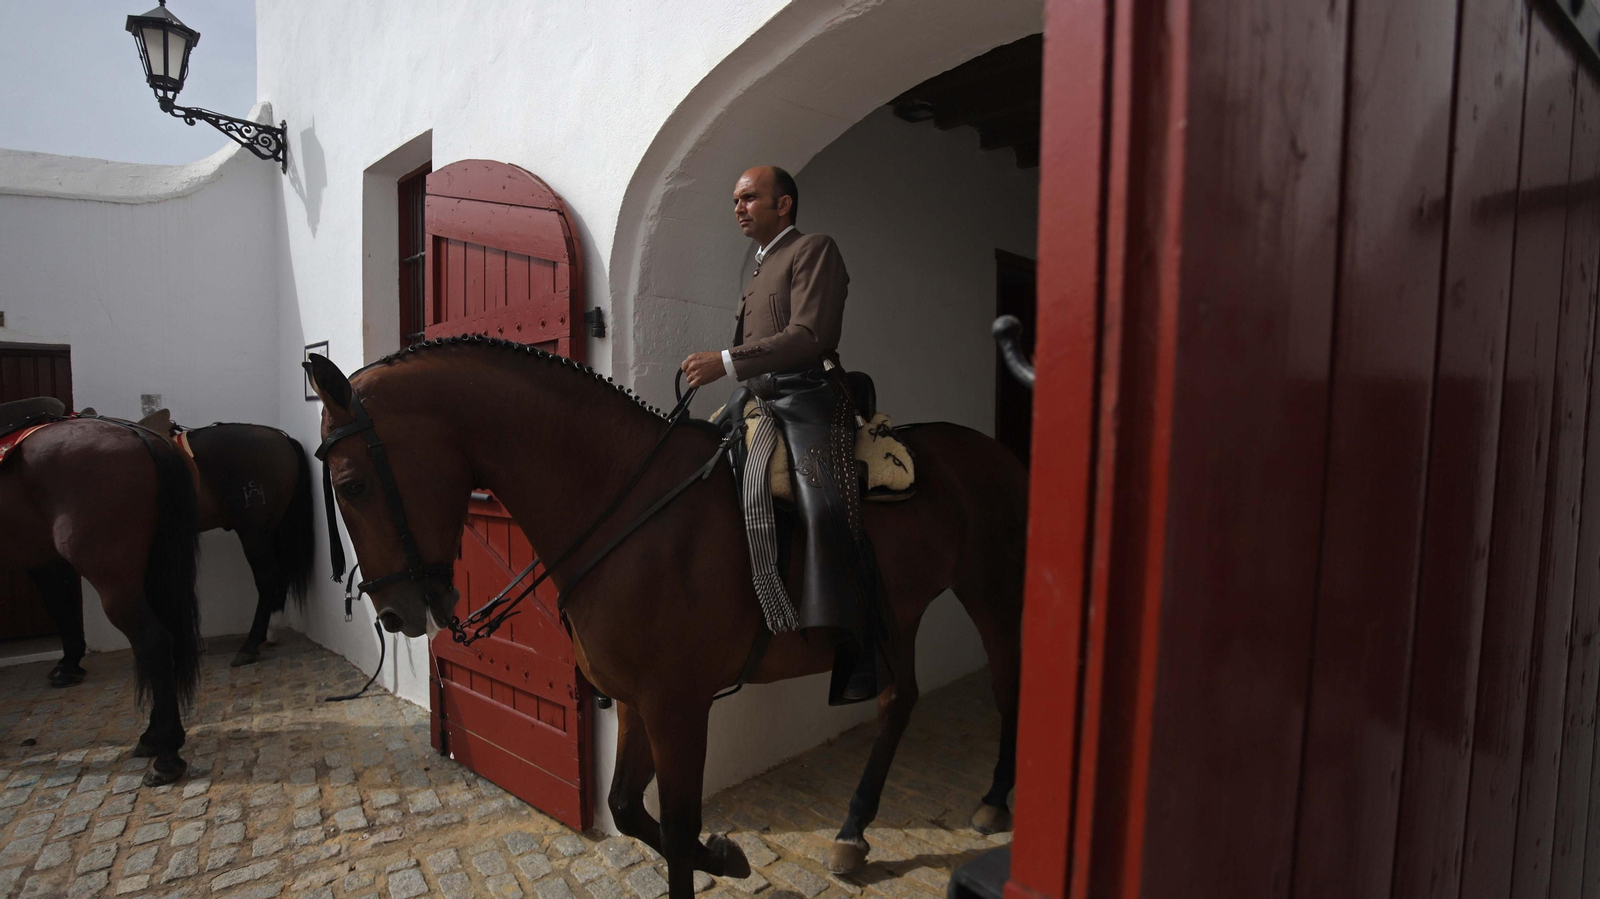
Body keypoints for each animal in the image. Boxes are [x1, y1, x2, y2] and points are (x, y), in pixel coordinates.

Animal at [0, 412, 202, 786]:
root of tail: (142, 436)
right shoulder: (43, 560)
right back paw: (152, 737)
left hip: (112, 578)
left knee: (153, 641)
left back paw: (166, 755)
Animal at [304, 336, 1025, 899]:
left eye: (350, 483)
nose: (394, 612)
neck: (629, 509)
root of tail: (995, 452)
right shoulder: (634, 701)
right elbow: (627, 807)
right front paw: (726, 856)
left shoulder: (678, 705)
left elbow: (676, 828)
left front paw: (712, 853)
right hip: (897, 615)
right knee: (899, 700)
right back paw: (852, 830)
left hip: (988, 591)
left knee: (1003, 684)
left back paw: (994, 799)